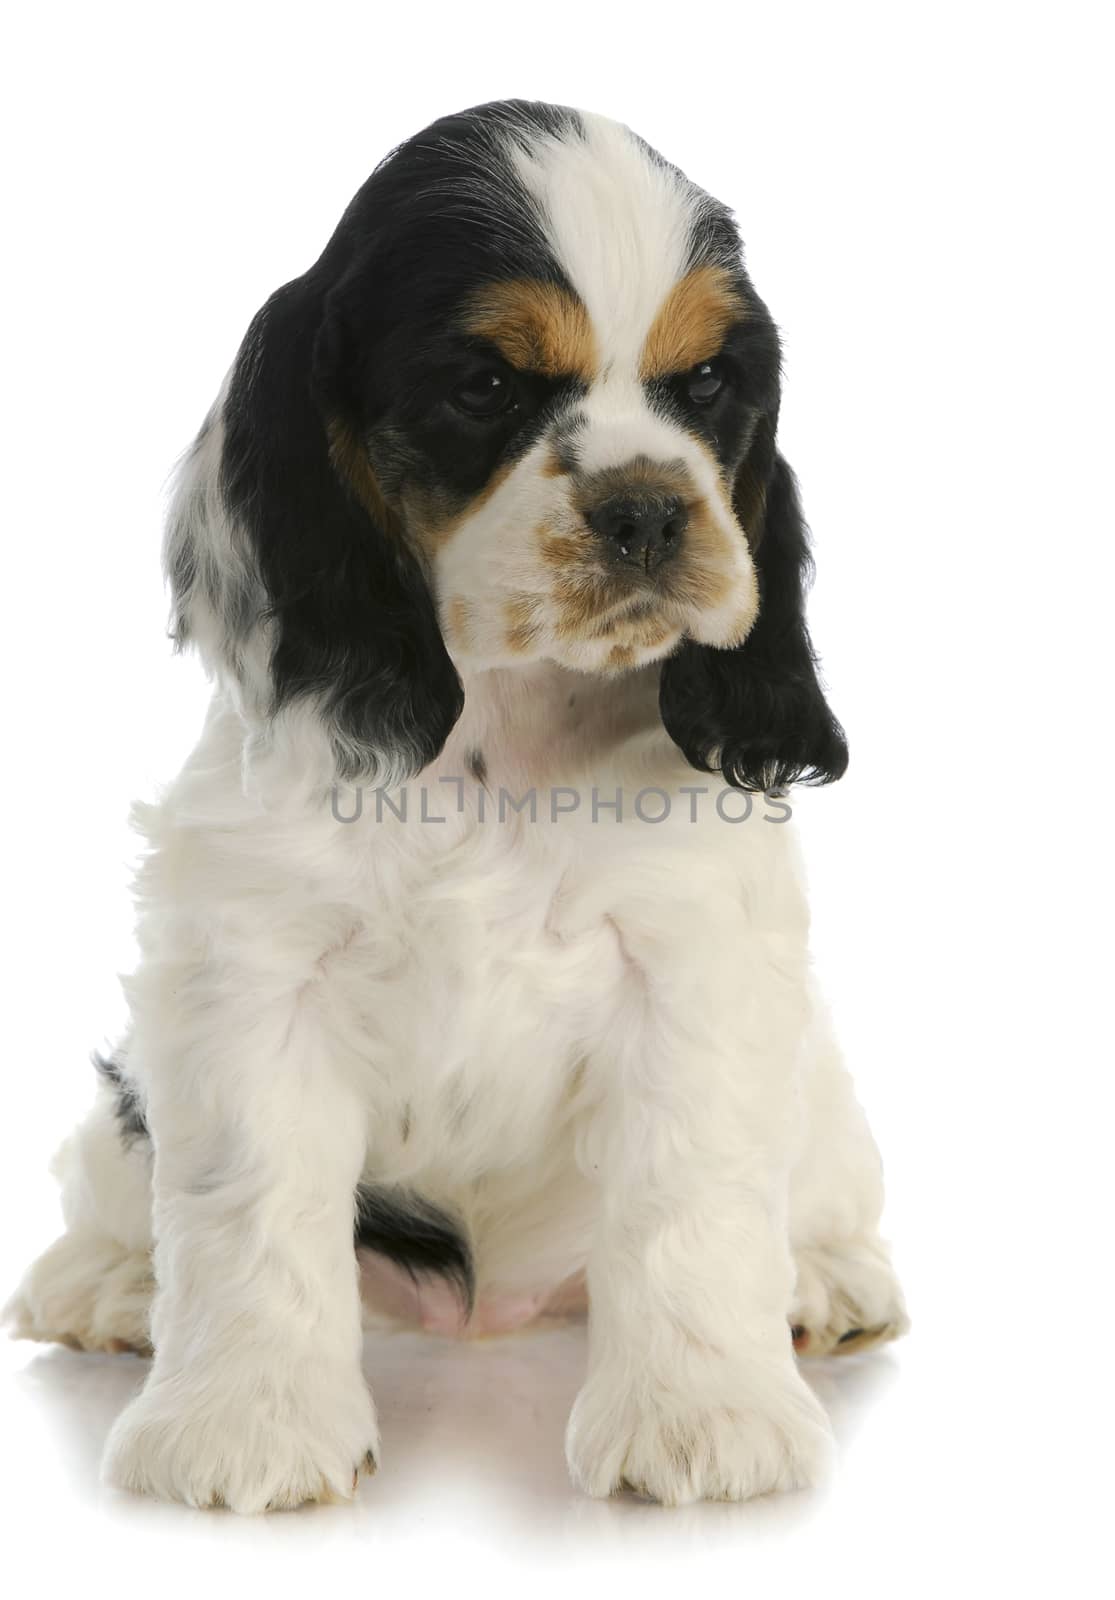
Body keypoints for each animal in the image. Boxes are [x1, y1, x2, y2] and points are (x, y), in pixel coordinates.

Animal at [6, 103, 902, 1510]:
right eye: (485, 386)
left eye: (706, 382)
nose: (648, 509)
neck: (504, 729)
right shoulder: (250, 969)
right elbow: (247, 1197)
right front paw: (245, 1427)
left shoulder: (693, 965)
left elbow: (690, 1193)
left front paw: (702, 1418)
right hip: (128, 1098)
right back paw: (102, 1284)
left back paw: (821, 1280)